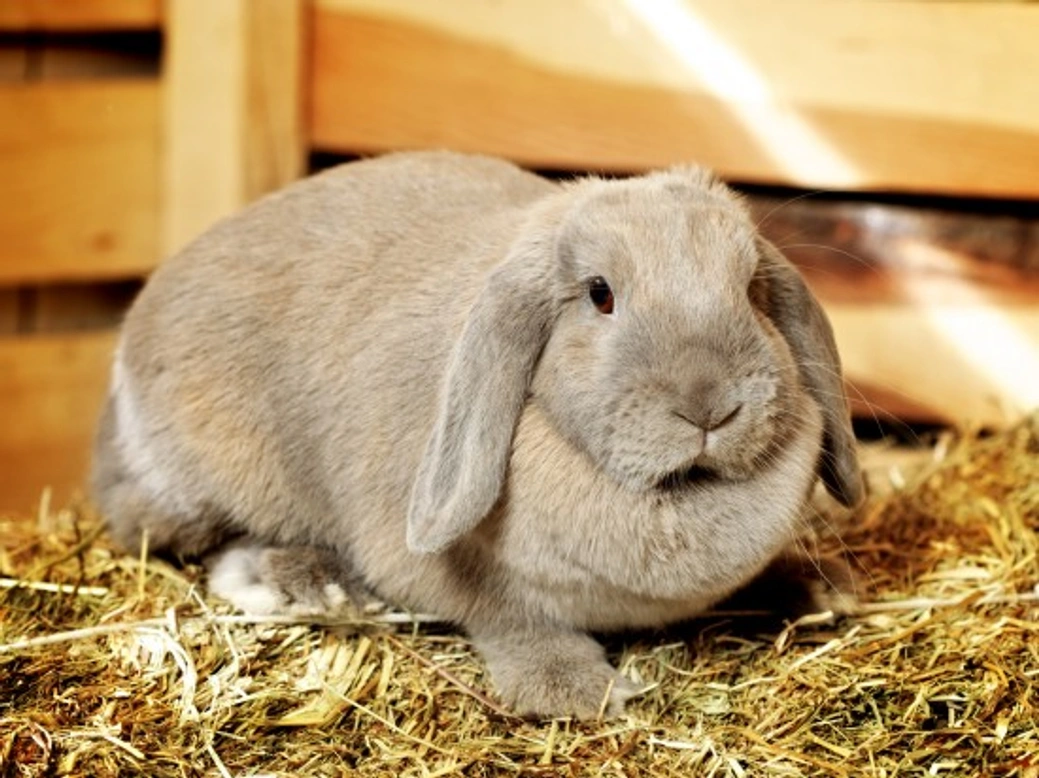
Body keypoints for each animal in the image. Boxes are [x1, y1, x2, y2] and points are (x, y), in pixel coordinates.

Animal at [92, 150, 863, 719]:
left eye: (752, 292)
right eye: (600, 294)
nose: (710, 407)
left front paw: (818, 589)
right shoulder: (460, 576)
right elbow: (506, 616)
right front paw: (580, 693)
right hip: (199, 482)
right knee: (176, 536)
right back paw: (306, 584)